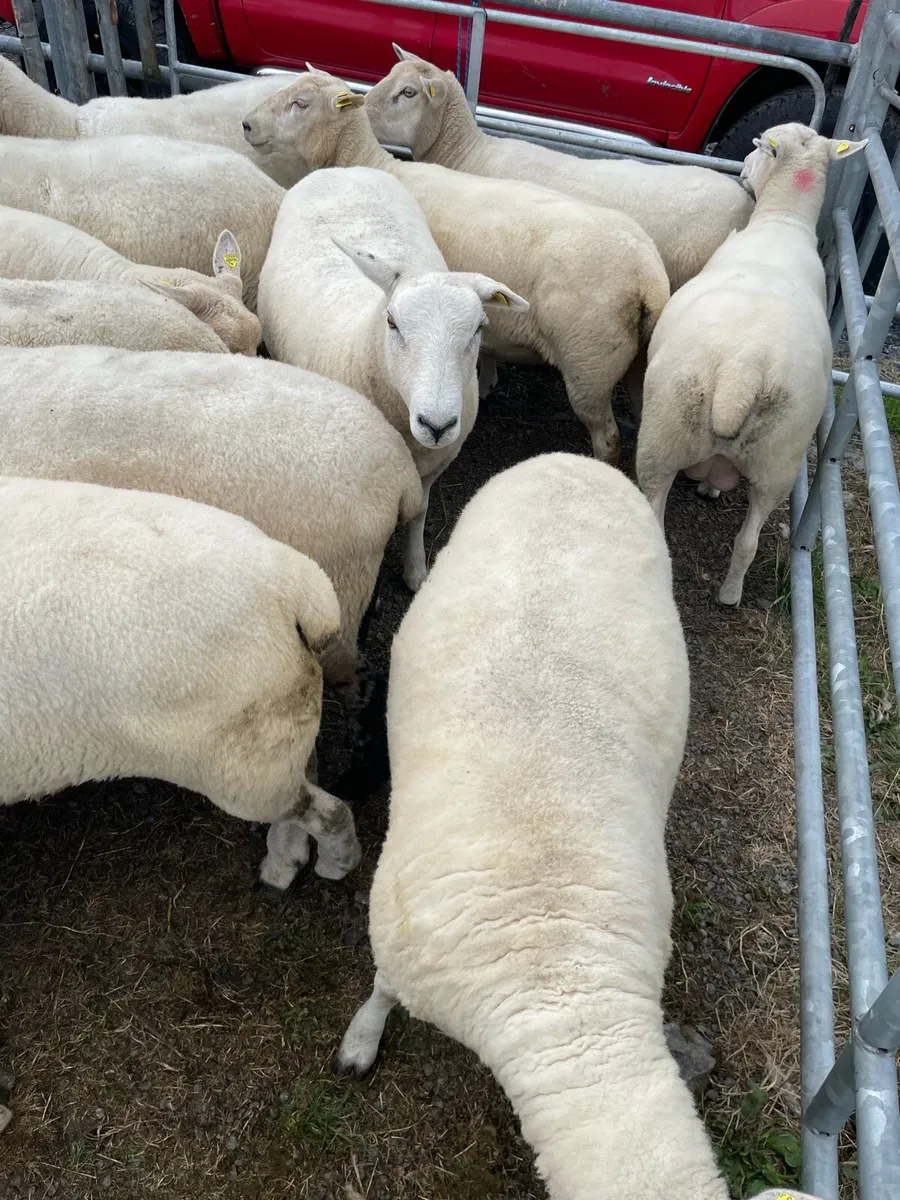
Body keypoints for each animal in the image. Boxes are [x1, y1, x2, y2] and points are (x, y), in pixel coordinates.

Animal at [0, 473, 361, 886]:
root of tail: (296, 584)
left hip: (241, 767)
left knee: (327, 811)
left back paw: (335, 864)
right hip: (276, 728)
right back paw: (284, 863)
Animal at [242, 70, 670, 463]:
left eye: (301, 103)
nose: (246, 125)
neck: (368, 163)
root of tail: (649, 276)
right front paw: (486, 380)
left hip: (589, 363)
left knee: (607, 437)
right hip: (638, 360)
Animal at [258, 164, 526, 591]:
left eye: (479, 328)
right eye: (392, 322)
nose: (437, 425)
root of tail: (344, 169)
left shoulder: (435, 465)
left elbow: (420, 512)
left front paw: (416, 570)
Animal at [636, 123, 866, 607]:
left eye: (759, 144)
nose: (742, 170)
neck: (783, 221)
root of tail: (740, 375)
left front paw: (706, 486)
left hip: (661, 439)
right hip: (778, 460)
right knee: (749, 540)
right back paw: (730, 593)